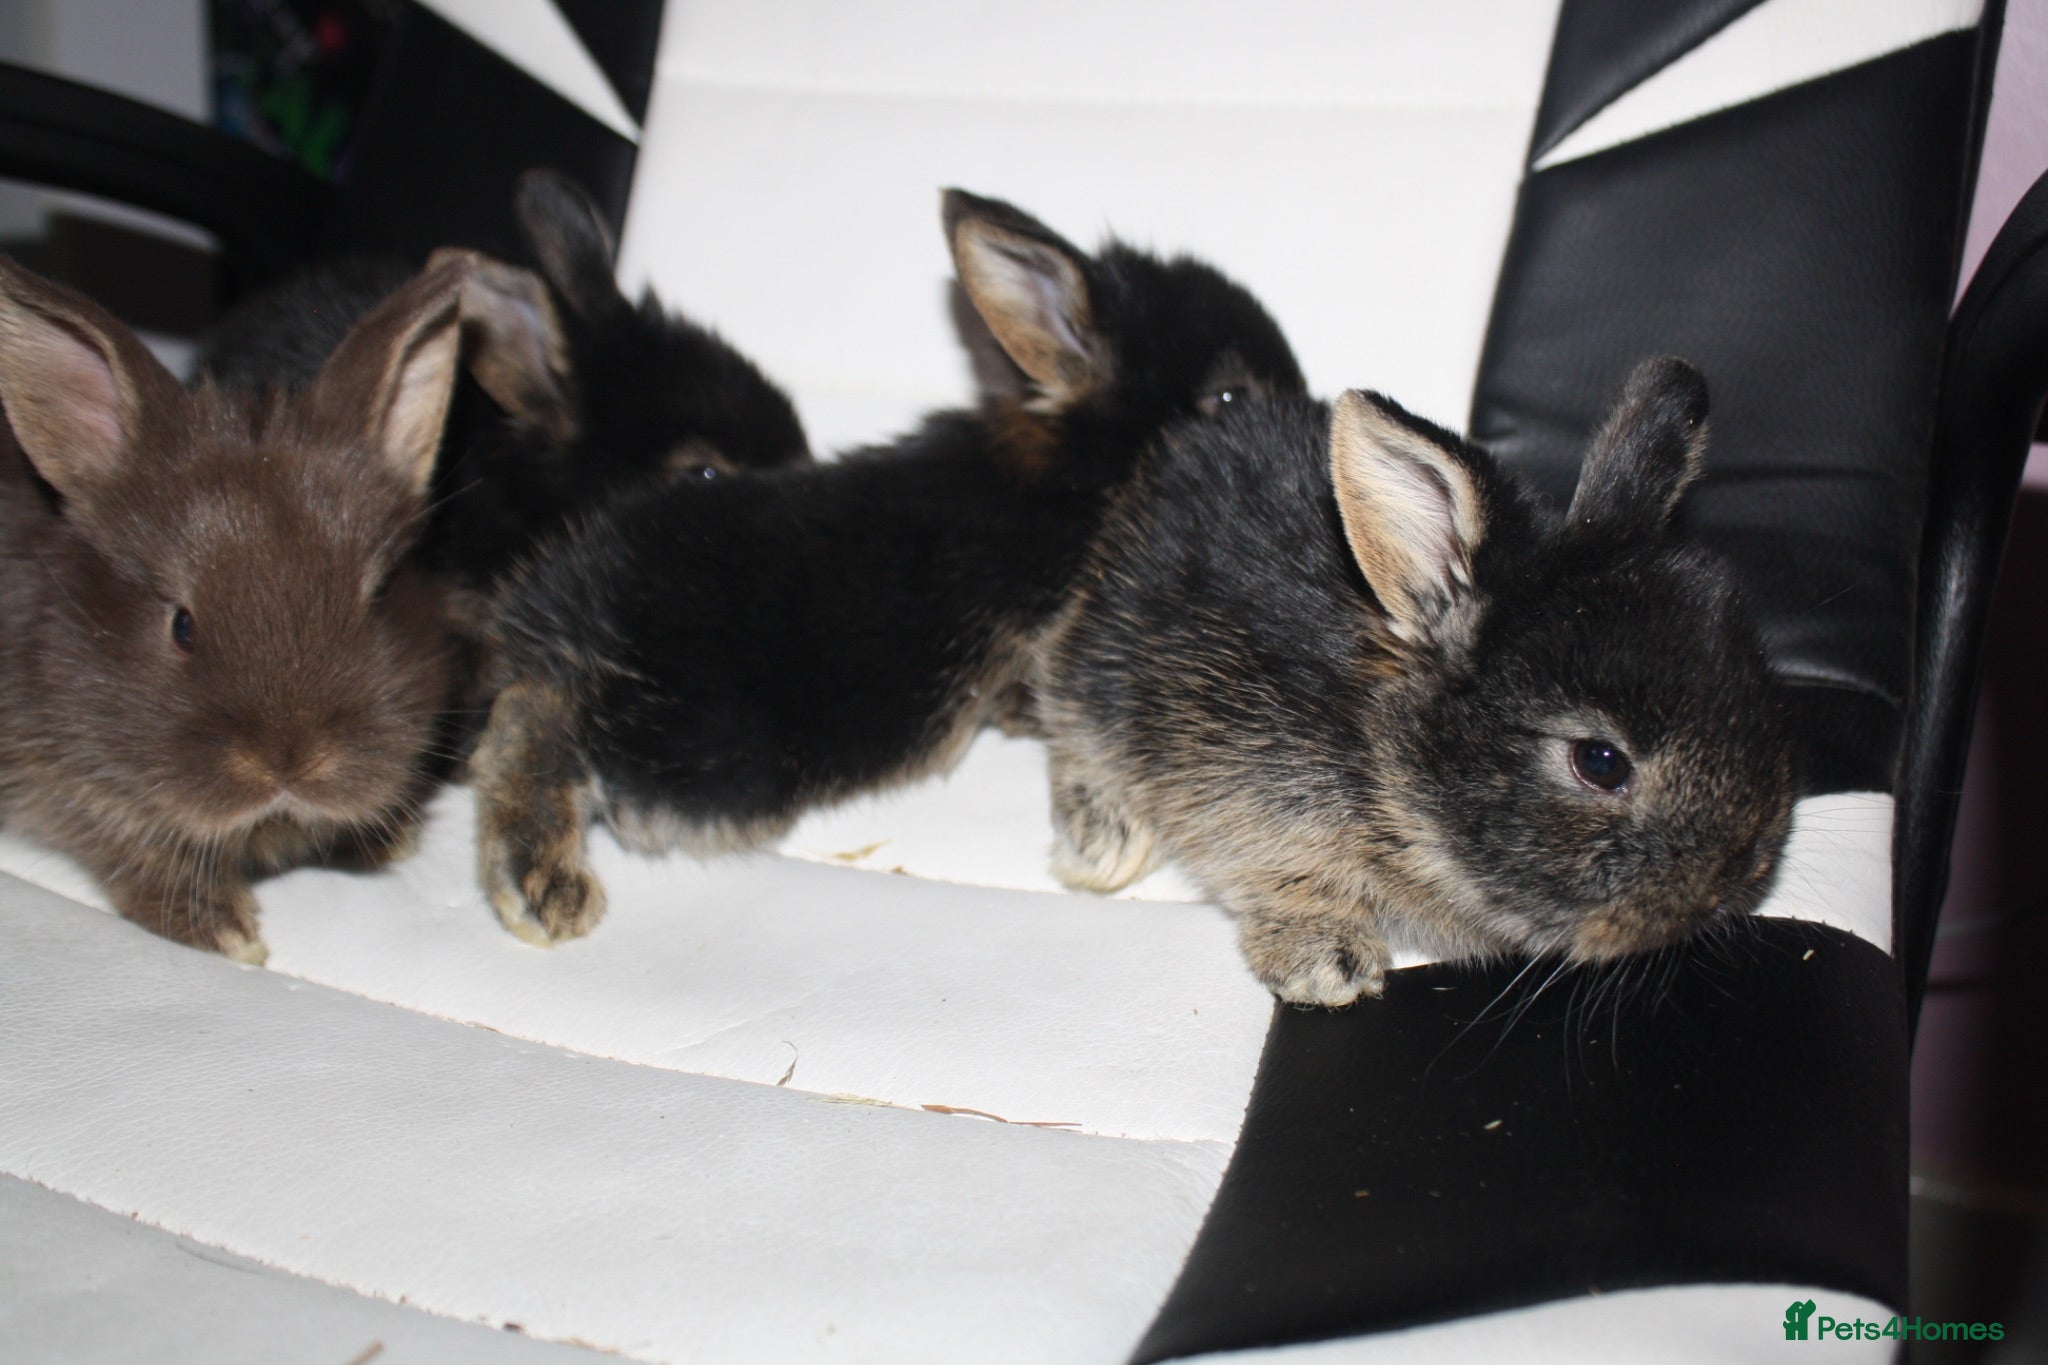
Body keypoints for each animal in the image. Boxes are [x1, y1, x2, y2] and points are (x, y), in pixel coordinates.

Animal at [0, 252, 475, 961]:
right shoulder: (62, 779)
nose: (290, 764)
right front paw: (221, 928)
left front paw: (386, 838)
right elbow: (127, 846)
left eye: (375, 600)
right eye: (181, 625)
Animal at [469, 188, 1307, 945]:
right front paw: (1107, 846)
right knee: (534, 720)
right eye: (1228, 396)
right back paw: (540, 883)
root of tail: (545, 603)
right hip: (695, 742)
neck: (1084, 471)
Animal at [1029, 358, 1797, 1007]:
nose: (1736, 875)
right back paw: (1101, 844)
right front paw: (1328, 966)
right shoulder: (1248, 782)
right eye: (1601, 761)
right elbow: (1282, 875)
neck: (1382, 747)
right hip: (1109, 664)